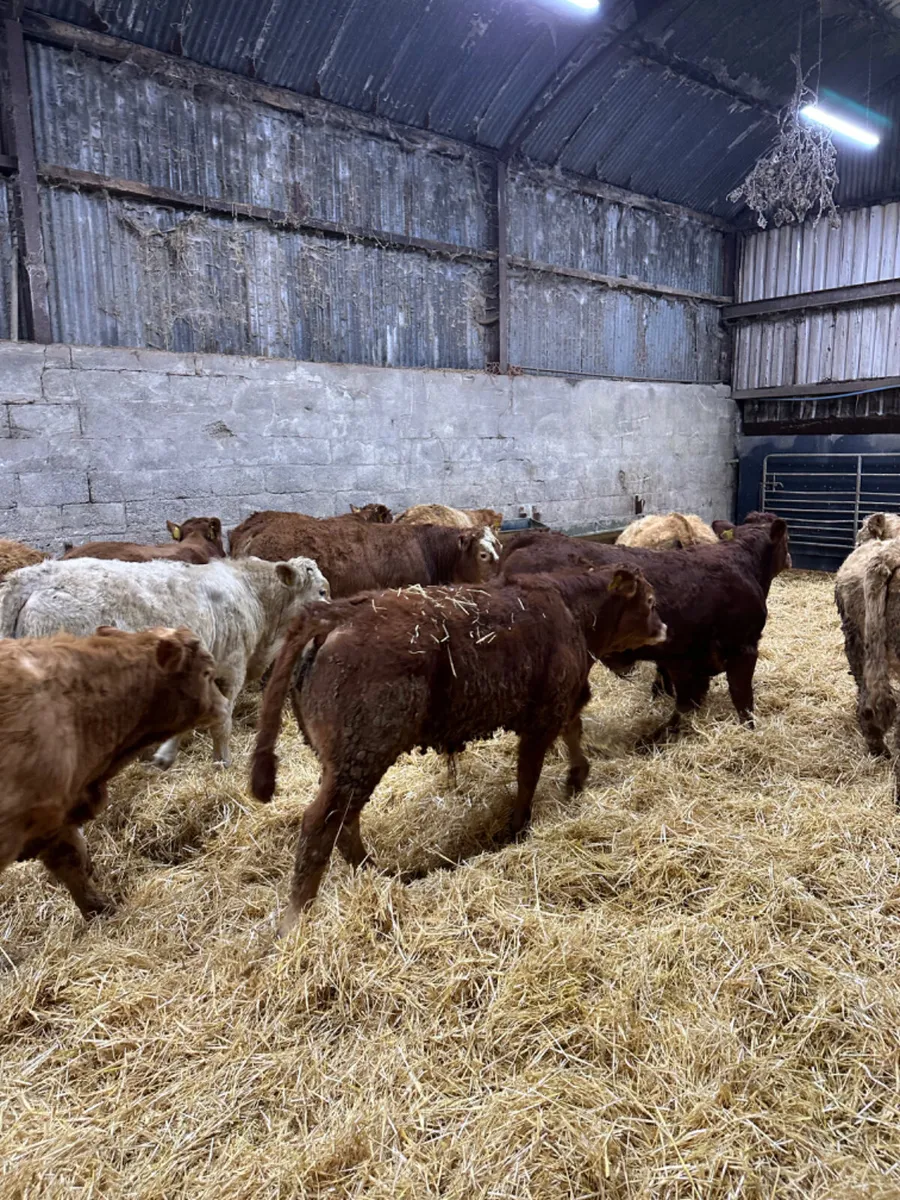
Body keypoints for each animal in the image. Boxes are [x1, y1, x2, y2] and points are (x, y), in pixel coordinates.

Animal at [0, 555, 329, 769]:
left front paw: (164, 756)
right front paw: (222, 762)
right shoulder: (231, 667)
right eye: (323, 591)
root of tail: (28, 578)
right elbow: (222, 719)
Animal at [250, 566, 665, 933]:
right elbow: (528, 775)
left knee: (345, 821)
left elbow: (573, 731)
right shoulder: (543, 716)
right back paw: (296, 918)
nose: (663, 628)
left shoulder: (562, 702)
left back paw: (374, 871)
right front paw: (518, 828)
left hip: (343, 763)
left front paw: (578, 777)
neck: (569, 607)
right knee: (320, 823)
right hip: (360, 754)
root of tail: (338, 612)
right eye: (649, 601)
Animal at [501, 512, 791, 740]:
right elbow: (742, 697)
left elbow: (687, 701)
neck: (742, 562)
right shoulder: (743, 647)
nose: (789, 558)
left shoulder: (684, 658)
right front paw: (749, 731)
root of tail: (536, 538)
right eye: (786, 541)